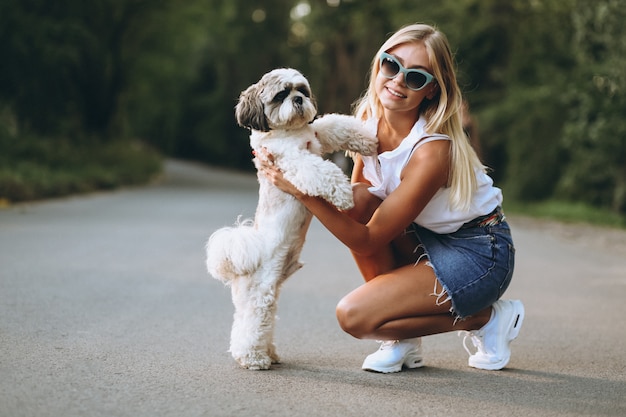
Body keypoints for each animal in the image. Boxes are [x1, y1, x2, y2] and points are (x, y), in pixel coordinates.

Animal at [205, 69, 376, 370]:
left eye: (302, 91)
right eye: (280, 95)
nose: (297, 99)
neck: (290, 131)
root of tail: (241, 265)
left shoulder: (318, 137)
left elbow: (335, 124)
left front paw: (366, 140)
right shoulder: (294, 160)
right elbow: (320, 170)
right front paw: (343, 195)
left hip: (270, 293)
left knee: (253, 323)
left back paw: (268, 353)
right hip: (262, 292)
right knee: (250, 325)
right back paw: (252, 358)